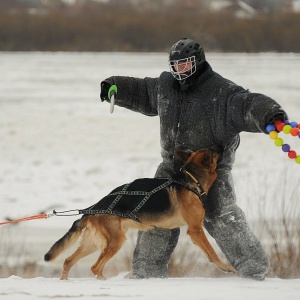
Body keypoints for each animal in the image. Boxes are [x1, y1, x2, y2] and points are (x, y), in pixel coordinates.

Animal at [44, 146, 234, 280]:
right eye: (213, 150)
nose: (221, 144)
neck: (191, 180)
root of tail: (91, 209)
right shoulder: (195, 229)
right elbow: (212, 251)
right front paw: (225, 267)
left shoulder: (194, 231)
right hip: (115, 241)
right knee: (95, 267)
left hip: (92, 243)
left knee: (68, 261)